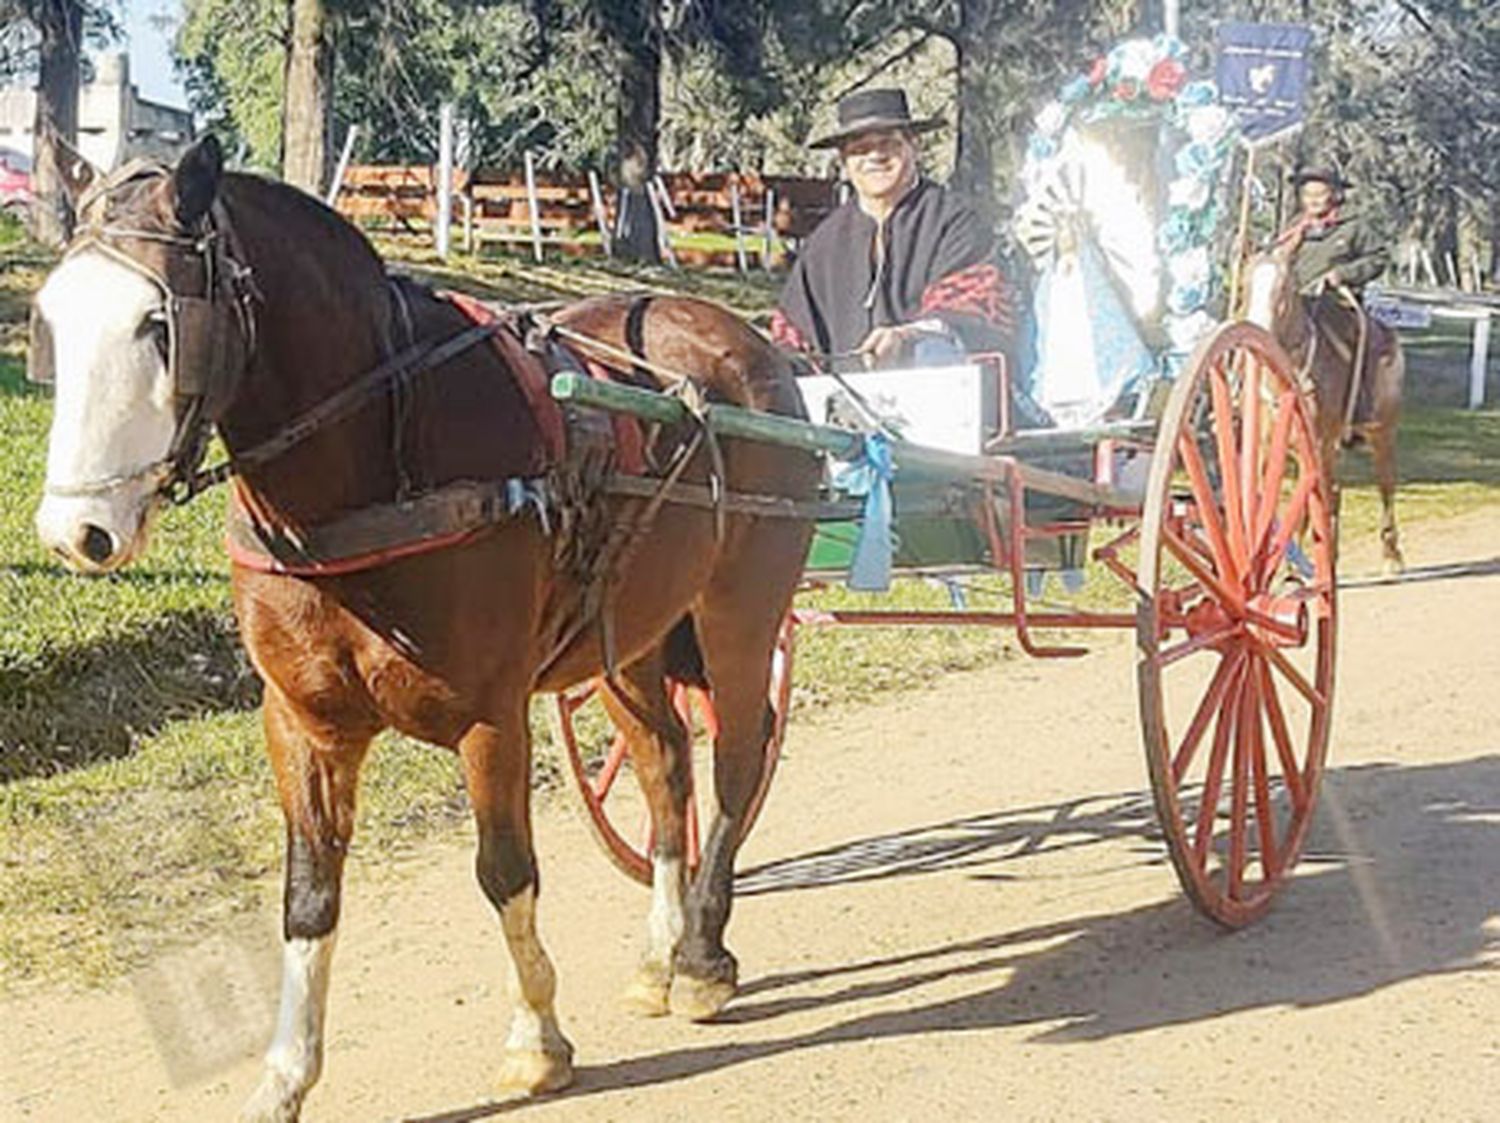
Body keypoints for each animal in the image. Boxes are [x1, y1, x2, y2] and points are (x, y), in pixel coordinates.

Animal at [29, 137, 816, 1115]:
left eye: (156, 324)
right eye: (49, 320)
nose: (75, 531)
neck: (371, 474)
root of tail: (742, 342)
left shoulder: (493, 715)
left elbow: (505, 871)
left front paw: (536, 1037)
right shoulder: (301, 722)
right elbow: (308, 895)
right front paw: (286, 1073)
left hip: (740, 610)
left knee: (739, 756)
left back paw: (703, 950)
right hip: (627, 633)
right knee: (666, 763)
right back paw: (660, 951)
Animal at [1242, 235, 1404, 569]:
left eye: (1284, 287)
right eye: (1246, 283)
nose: (1258, 334)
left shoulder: (1316, 445)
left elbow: (1308, 504)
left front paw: (1296, 568)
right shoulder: (1267, 447)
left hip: (1382, 435)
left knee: (1385, 487)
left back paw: (1391, 554)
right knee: (1336, 492)